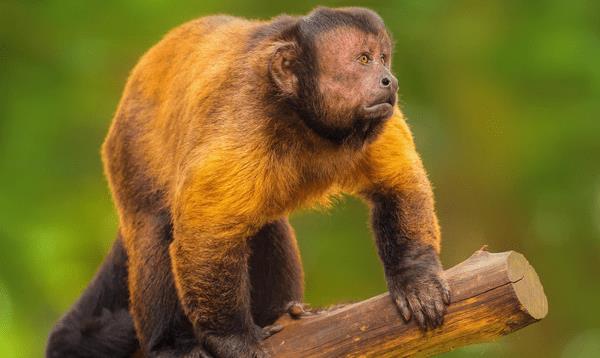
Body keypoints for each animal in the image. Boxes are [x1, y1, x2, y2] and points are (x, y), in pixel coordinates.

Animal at [47, 6, 450, 358]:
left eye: (384, 58)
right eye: (363, 59)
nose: (390, 80)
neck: (304, 120)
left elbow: (398, 183)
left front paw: (415, 278)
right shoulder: (245, 116)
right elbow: (206, 229)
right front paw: (232, 339)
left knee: (262, 225)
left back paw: (284, 313)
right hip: (127, 154)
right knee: (156, 225)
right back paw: (170, 344)